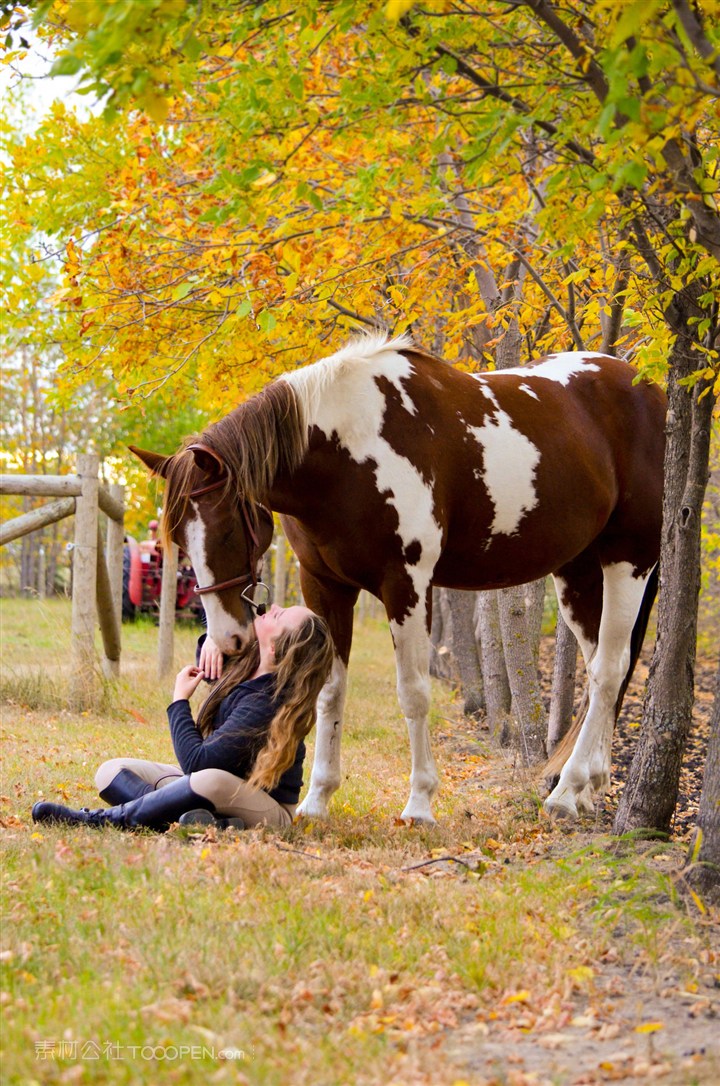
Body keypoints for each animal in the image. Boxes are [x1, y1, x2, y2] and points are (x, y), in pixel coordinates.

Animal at [133, 332, 664, 821]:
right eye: (178, 539)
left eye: (225, 530)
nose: (228, 641)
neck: (349, 451)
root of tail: (646, 388)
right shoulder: (325, 587)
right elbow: (328, 693)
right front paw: (317, 800)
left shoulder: (406, 584)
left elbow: (414, 694)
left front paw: (420, 803)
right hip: (576, 571)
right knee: (602, 669)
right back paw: (590, 786)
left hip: (628, 560)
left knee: (609, 668)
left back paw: (566, 792)